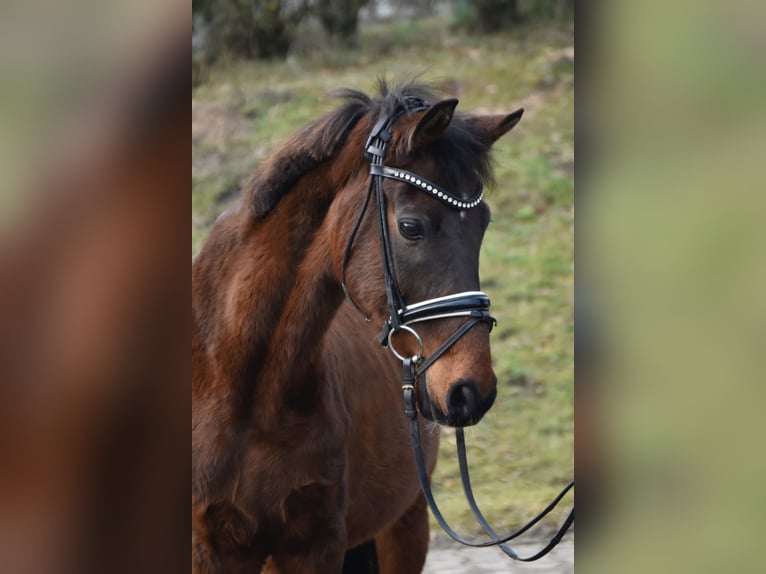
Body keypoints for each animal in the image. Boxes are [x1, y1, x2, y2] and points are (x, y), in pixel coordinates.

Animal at [195, 82, 524, 574]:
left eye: (483, 225)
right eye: (410, 227)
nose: (472, 390)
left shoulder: (315, 544)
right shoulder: (212, 549)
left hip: (406, 525)